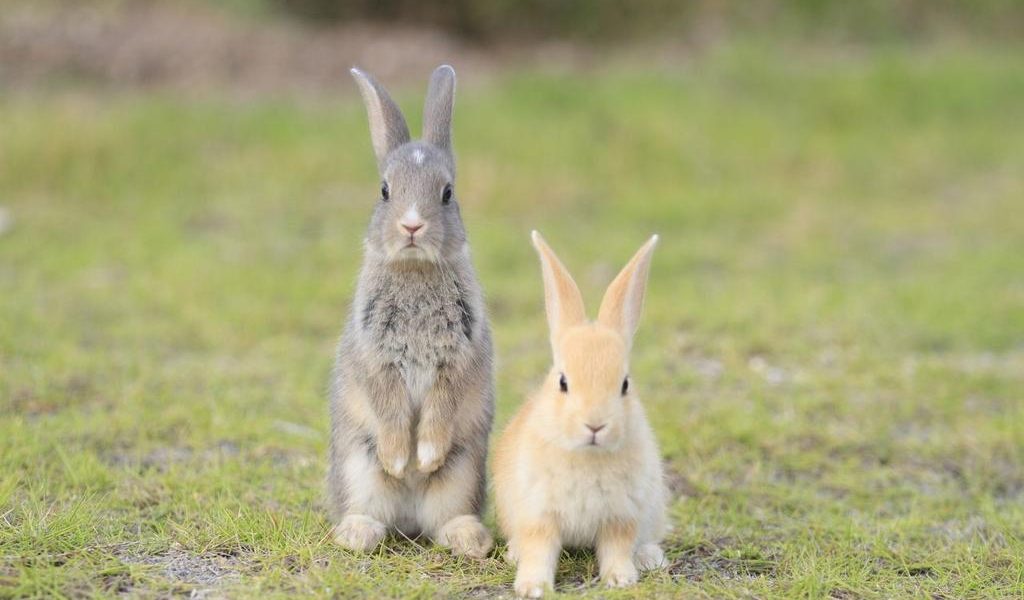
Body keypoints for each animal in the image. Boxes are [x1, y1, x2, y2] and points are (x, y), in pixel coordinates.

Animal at [326, 65, 494, 559]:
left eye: (448, 193)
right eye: (385, 191)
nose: (412, 225)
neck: (416, 269)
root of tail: (408, 521)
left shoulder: (458, 357)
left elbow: (441, 406)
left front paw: (426, 456)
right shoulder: (377, 357)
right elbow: (388, 404)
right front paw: (401, 459)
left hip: (464, 472)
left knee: (444, 519)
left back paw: (470, 540)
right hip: (357, 467)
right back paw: (357, 533)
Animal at [493, 231, 669, 597]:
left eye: (625, 384)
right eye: (563, 382)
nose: (595, 425)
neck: (587, 455)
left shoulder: (621, 515)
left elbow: (617, 548)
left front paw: (621, 579)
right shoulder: (538, 514)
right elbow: (539, 549)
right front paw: (533, 587)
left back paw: (649, 558)